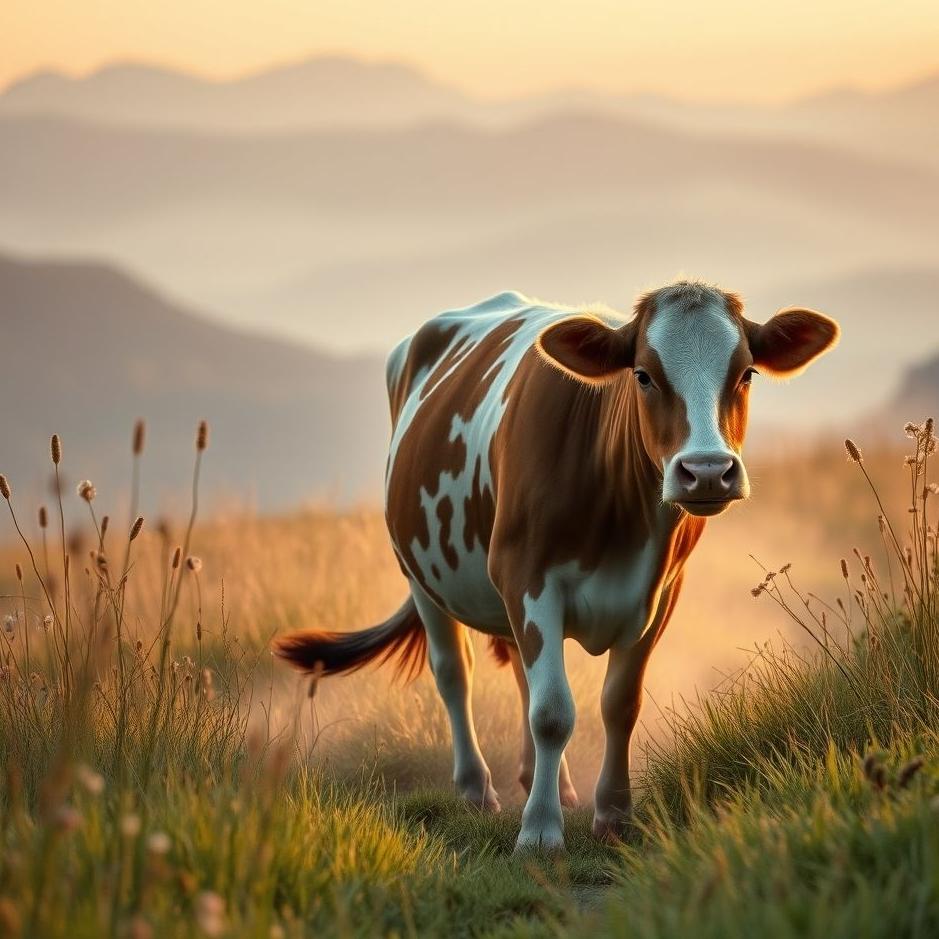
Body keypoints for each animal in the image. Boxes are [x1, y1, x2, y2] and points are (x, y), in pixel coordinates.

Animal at [275, 281, 839, 851]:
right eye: (642, 374)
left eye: (746, 374)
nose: (705, 471)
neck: (620, 518)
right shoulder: (527, 576)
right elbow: (551, 711)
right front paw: (540, 830)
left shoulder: (661, 593)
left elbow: (619, 704)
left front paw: (613, 815)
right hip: (418, 572)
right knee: (455, 672)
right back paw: (477, 788)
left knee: (520, 672)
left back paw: (545, 782)